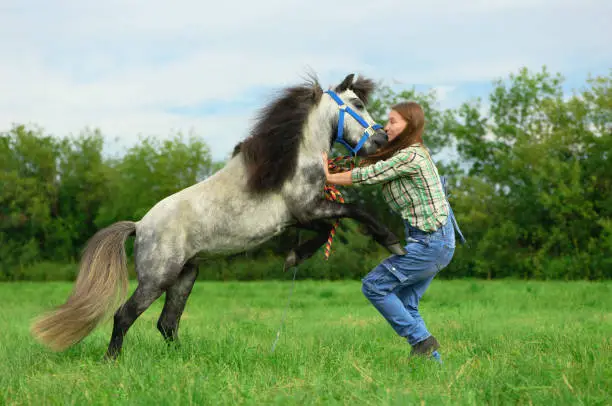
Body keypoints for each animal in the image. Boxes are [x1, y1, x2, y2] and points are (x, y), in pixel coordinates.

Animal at [32, 73, 406, 358]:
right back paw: (112, 360)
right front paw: (392, 243)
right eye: (357, 105)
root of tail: (139, 226)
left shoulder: (304, 216)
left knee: (167, 323)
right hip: (158, 277)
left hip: (185, 276)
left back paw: (183, 359)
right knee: (124, 316)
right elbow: (355, 212)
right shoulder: (306, 209)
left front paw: (293, 257)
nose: (381, 140)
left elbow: (331, 226)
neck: (291, 160)